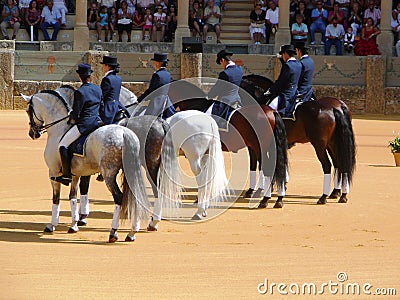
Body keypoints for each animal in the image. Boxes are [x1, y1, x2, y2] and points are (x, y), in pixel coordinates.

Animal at [23, 88, 152, 243]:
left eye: (28, 111)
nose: (32, 134)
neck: (60, 129)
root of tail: (124, 133)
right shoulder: (75, 175)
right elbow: (72, 197)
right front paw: (73, 225)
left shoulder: (53, 173)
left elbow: (56, 198)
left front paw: (51, 225)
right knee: (135, 197)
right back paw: (132, 233)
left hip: (109, 174)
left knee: (119, 197)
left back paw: (113, 232)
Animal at [241, 74, 356, 205]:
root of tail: (336, 107)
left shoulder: (257, 145)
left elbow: (258, 165)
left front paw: (256, 190)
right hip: (333, 144)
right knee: (340, 163)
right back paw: (339, 193)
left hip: (320, 145)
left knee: (328, 165)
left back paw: (324, 197)